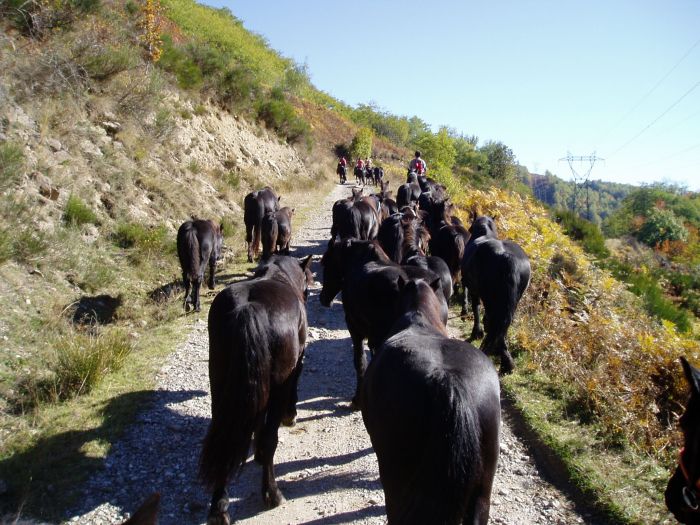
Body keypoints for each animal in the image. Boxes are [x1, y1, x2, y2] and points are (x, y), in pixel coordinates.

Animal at [200, 253, 314, 520]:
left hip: (220, 383)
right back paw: (272, 493)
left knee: (224, 440)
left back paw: (218, 508)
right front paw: (291, 416)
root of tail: (247, 309)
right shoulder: (296, 365)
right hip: (277, 385)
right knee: (270, 439)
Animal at [460, 216, 532, 372]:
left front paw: (476, 332)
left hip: (490, 299)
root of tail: (508, 258)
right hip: (512, 302)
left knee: (495, 325)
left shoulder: (474, 290)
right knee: (501, 327)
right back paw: (507, 363)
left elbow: (476, 308)